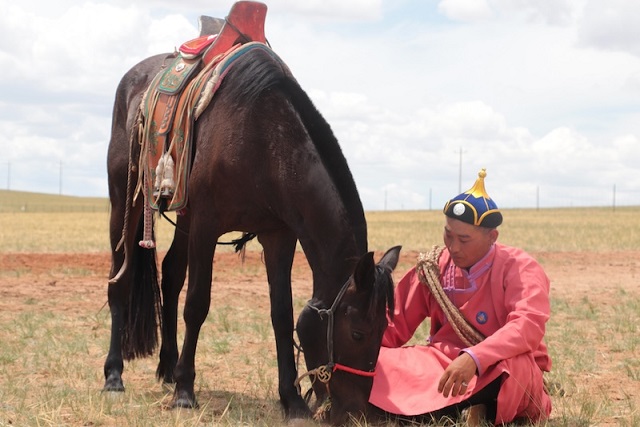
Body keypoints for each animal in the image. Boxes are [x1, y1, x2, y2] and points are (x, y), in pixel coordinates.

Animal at [102, 16, 398, 424]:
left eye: (384, 331)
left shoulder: (278, 234)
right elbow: (198, 304)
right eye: (357, 333)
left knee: (171, 274)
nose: (359, 412)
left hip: (183, 218)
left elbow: (281, 313)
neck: (263, 139)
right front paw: (185, 392)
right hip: (126, 202)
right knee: (121, 279)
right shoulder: (207, 224)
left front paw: (292, 400)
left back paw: (167, 366)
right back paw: (115, 374)